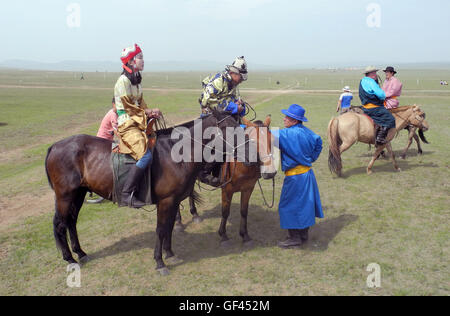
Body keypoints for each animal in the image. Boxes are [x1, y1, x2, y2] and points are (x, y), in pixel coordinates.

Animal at [45, 110, 241, 276]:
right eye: (227, 126)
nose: (245, 146)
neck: (175, 154)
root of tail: (54, 146)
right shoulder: (166, 201)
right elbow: (161, 230)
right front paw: (160, 262)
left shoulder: (174, 201)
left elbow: (169, 227)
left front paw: (170, 253)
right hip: (65, 196)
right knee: (61, 225)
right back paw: (70, 259)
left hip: (78, 194)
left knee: (71, 222)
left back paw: (80, 253)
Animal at [174, 115, 276, 246]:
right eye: (253, 142)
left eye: (272, 140)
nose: (270, 172)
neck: (240, 163)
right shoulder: (227, 190)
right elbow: (225, 212)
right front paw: (223, 235)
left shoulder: (248, 189)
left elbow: (244, 211)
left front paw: (245, 236)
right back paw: (178, 222)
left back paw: (195, 214)